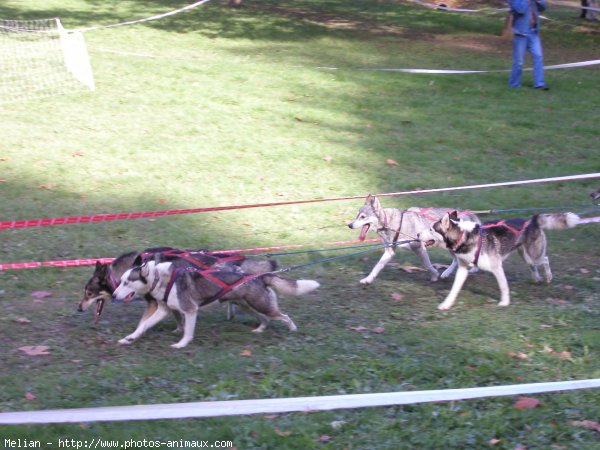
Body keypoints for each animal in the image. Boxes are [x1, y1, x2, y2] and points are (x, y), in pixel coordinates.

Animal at [111, 256, 318, 348]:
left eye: (127, 282)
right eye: (121, 281)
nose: (113, 295)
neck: (159, 279)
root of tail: (260, 276)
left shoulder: (190, 310)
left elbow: (187, 332)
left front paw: (181, 344)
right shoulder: (163, 310)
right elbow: (143, 326)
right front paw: (130, 338)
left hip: (262, 305)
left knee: (284, 316)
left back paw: (293, 329)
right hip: (248, 306)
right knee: (265, 319)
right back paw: (259, 330)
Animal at [346, 194, 478, 284]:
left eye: (363, 217)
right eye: (357, 215)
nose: (349, 225)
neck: (395, 224)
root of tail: (470, 214)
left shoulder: (419, 247)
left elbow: (427, 265)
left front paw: (434, 275)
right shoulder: (389, 251)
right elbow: (377, 267)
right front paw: (368, 279)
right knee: (456, 260)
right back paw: (446, 273)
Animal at [420, 210, 580, 310]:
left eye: (431, 229)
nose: (417, 234)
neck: (464, 236)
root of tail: (531, 221)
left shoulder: (496, 267)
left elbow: (503, 286)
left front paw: (504, 302)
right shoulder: (463, 269)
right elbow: (454, 290)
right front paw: (446, 304)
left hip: (534, 256)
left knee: (545, 259)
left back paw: (548, 277)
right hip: (526, 256)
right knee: (533, 267)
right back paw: (536, 278)